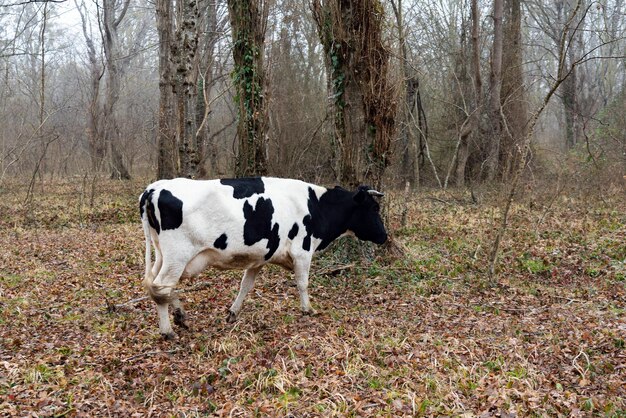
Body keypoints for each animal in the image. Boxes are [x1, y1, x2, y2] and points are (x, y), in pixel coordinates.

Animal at [139, 177, 386, 340]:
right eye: (374, 208)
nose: (384, 236)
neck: (316, 206)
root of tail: (154, 188)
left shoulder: (259, 258)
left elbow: (245, 286)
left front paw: (233, 312)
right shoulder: (302, 251)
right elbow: (303, 283)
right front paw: (308, 309)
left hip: (163, 254)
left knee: (159, 286)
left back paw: (180, 315)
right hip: (177, 255)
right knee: (161, 286)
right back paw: (167, 330)